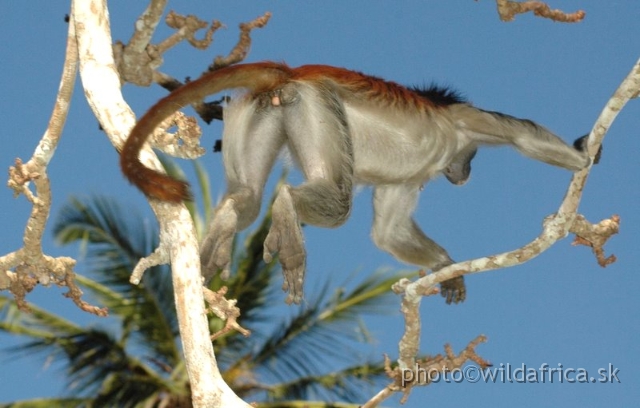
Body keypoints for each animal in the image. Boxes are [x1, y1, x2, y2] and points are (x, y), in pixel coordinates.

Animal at [121, 60, 596, 302]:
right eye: (473, 157)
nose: (465, 174)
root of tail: (293, 74)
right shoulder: (465, 121)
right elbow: (521, 135)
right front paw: (585, 156)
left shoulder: (408, 179)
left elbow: (389, 233)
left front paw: (445, 266)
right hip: (315, 104)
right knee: (329, 196)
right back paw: (287, 207)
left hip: (258, 110)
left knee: (249, 196)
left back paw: (229, 221)